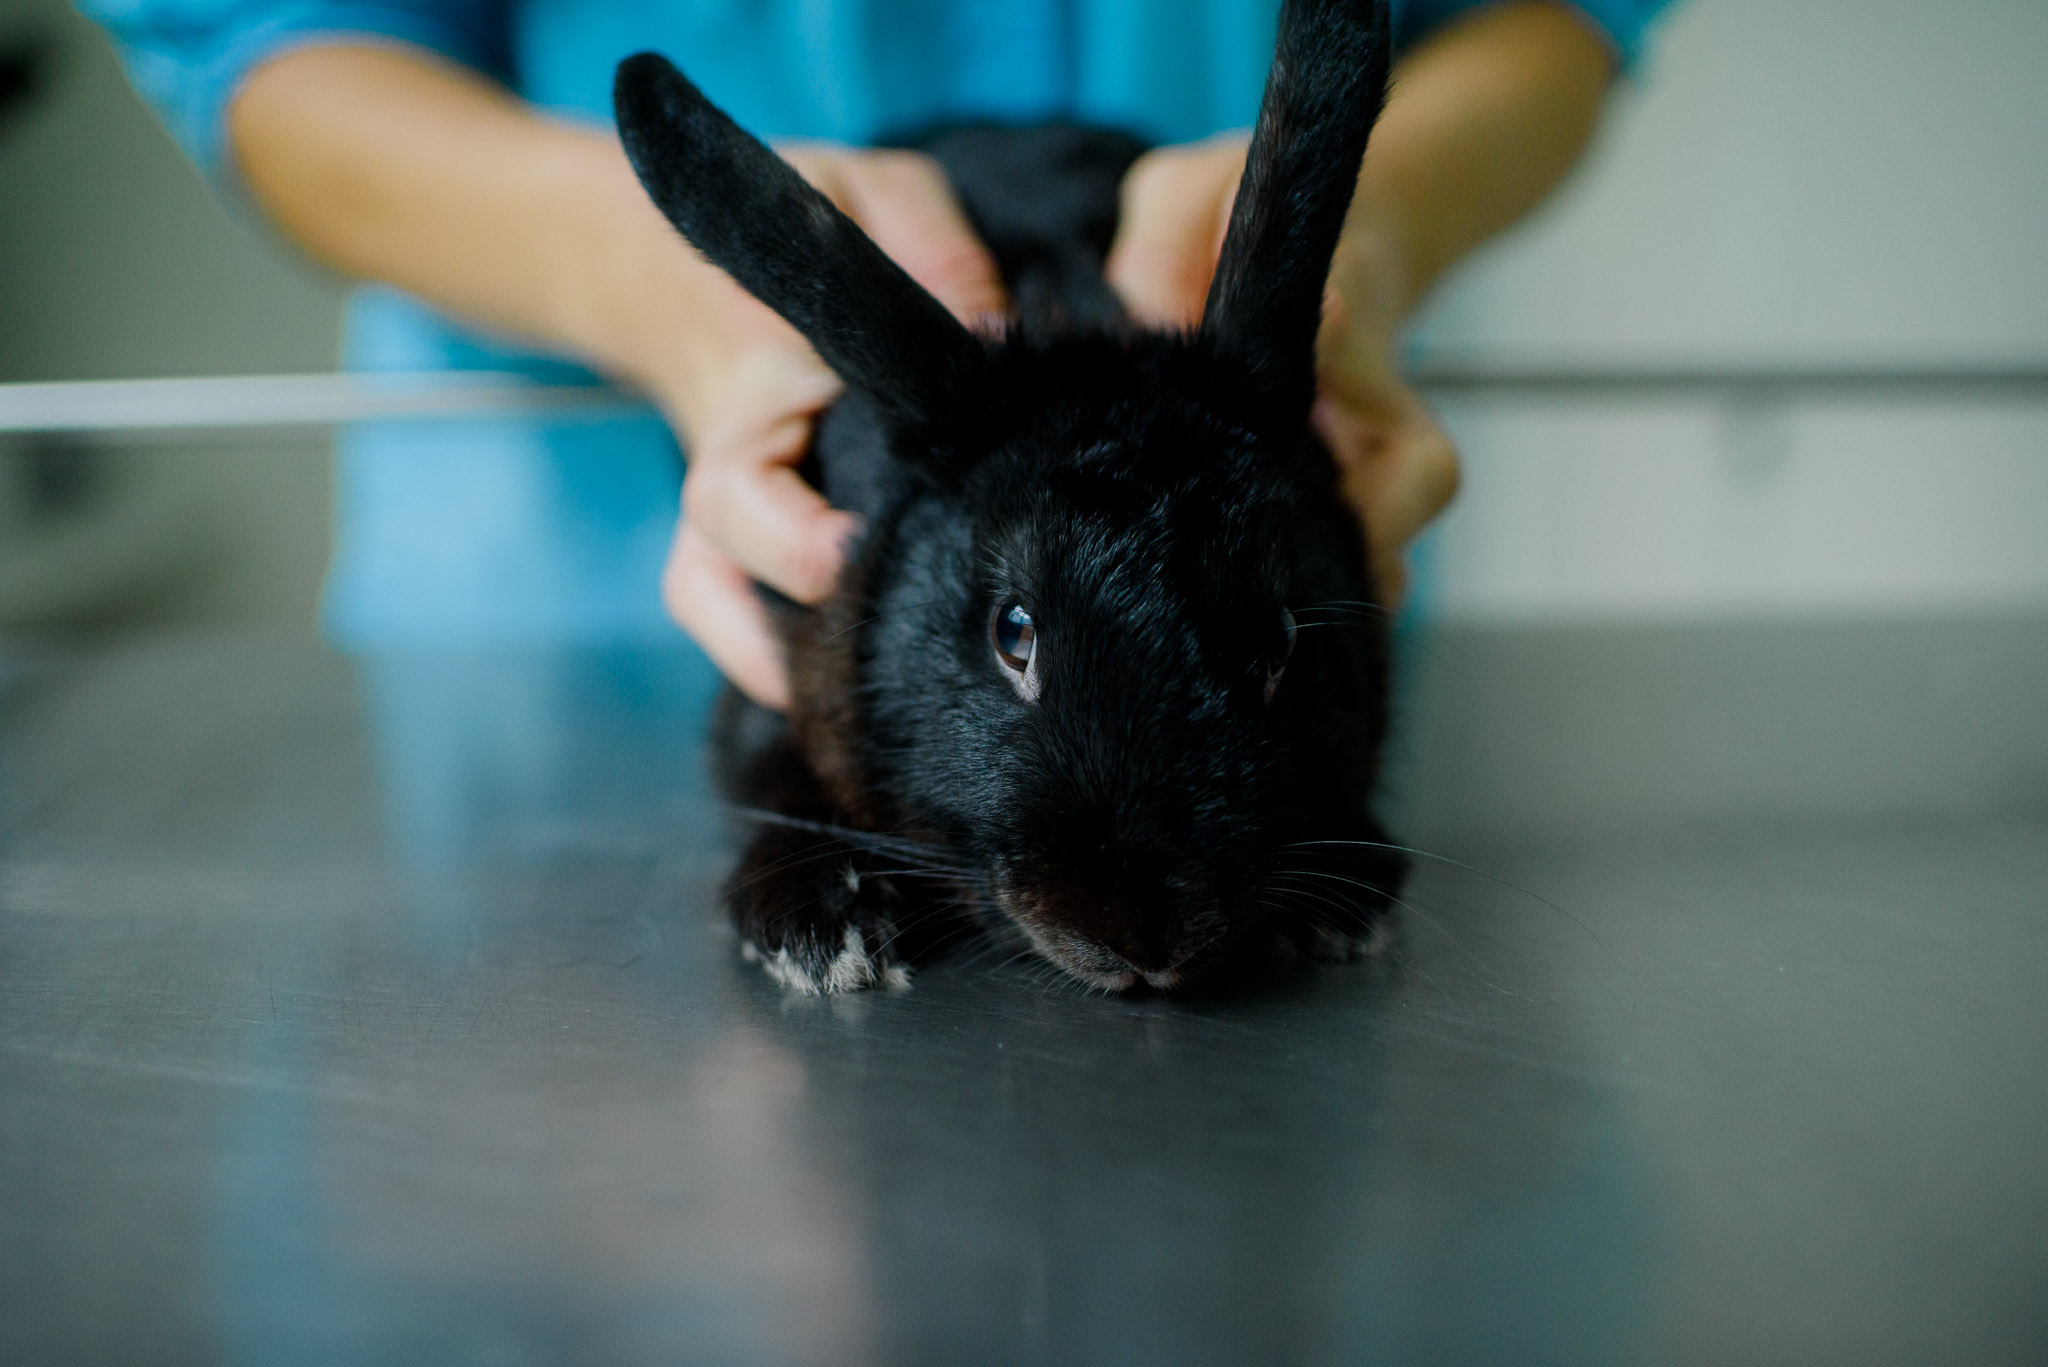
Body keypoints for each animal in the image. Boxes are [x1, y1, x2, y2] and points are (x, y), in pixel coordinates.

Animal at [606, 0, 1409, 996]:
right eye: (1012, 632)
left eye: (1285, 640)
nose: (1147, 941)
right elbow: (768, 775)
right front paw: (819, 922)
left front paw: (1351, 896)